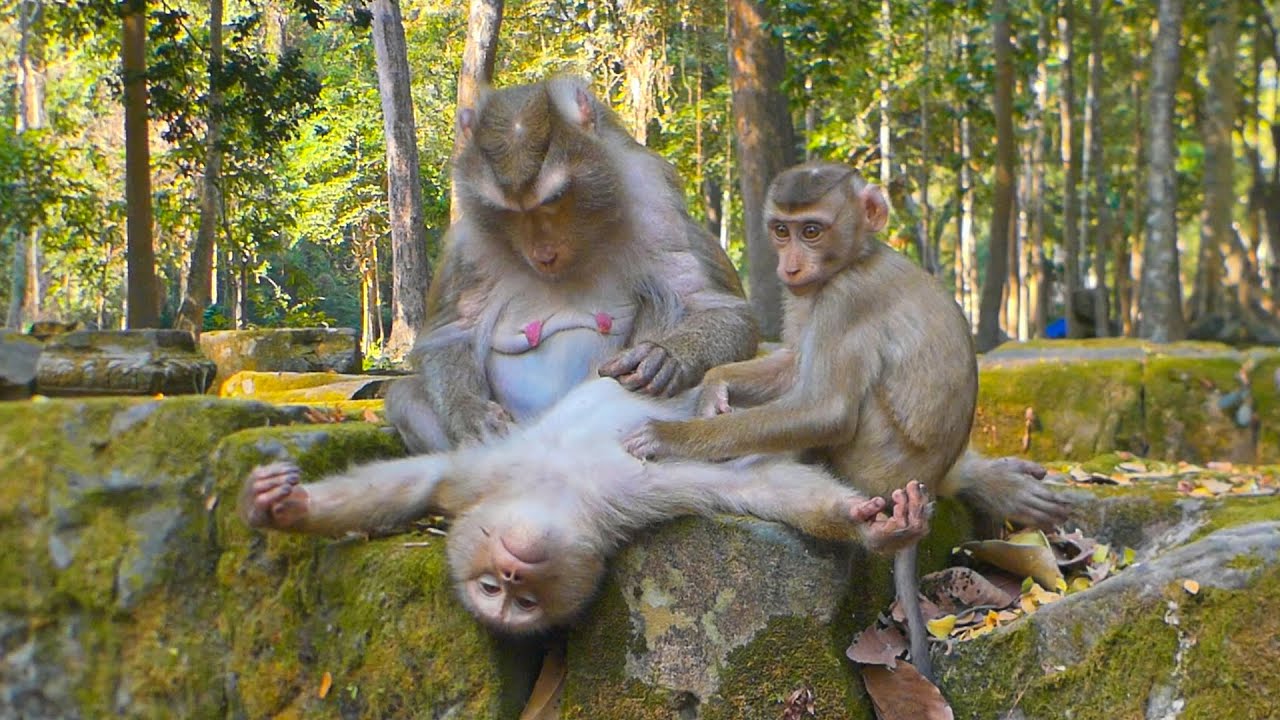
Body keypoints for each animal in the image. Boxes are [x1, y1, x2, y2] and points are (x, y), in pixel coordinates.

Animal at [240, 377, 931, 635]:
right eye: (499, 595)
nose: (512, 572)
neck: (558, 491)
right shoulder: (637, 502)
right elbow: (756, 484)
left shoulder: (486, 477)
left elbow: (423, 479)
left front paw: (284, 510)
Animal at [384, 76, 758, 454]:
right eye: (509, 213)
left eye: (553, 200)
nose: (544, 253)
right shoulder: (469, 245)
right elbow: (452, 332)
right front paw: (468, 411)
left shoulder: (655, 205)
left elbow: (716, 307)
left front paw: (668, 355)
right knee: (403, 395)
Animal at [622, 162, 1074, 680]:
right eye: (782, 231)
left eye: (812, 231)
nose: (790, 266)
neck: (858, 257)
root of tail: (927, 479)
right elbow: (794, 365)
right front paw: (715, 386)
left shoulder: (845, 298)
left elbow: (827, 410)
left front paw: (670, 436)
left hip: (873, 464)